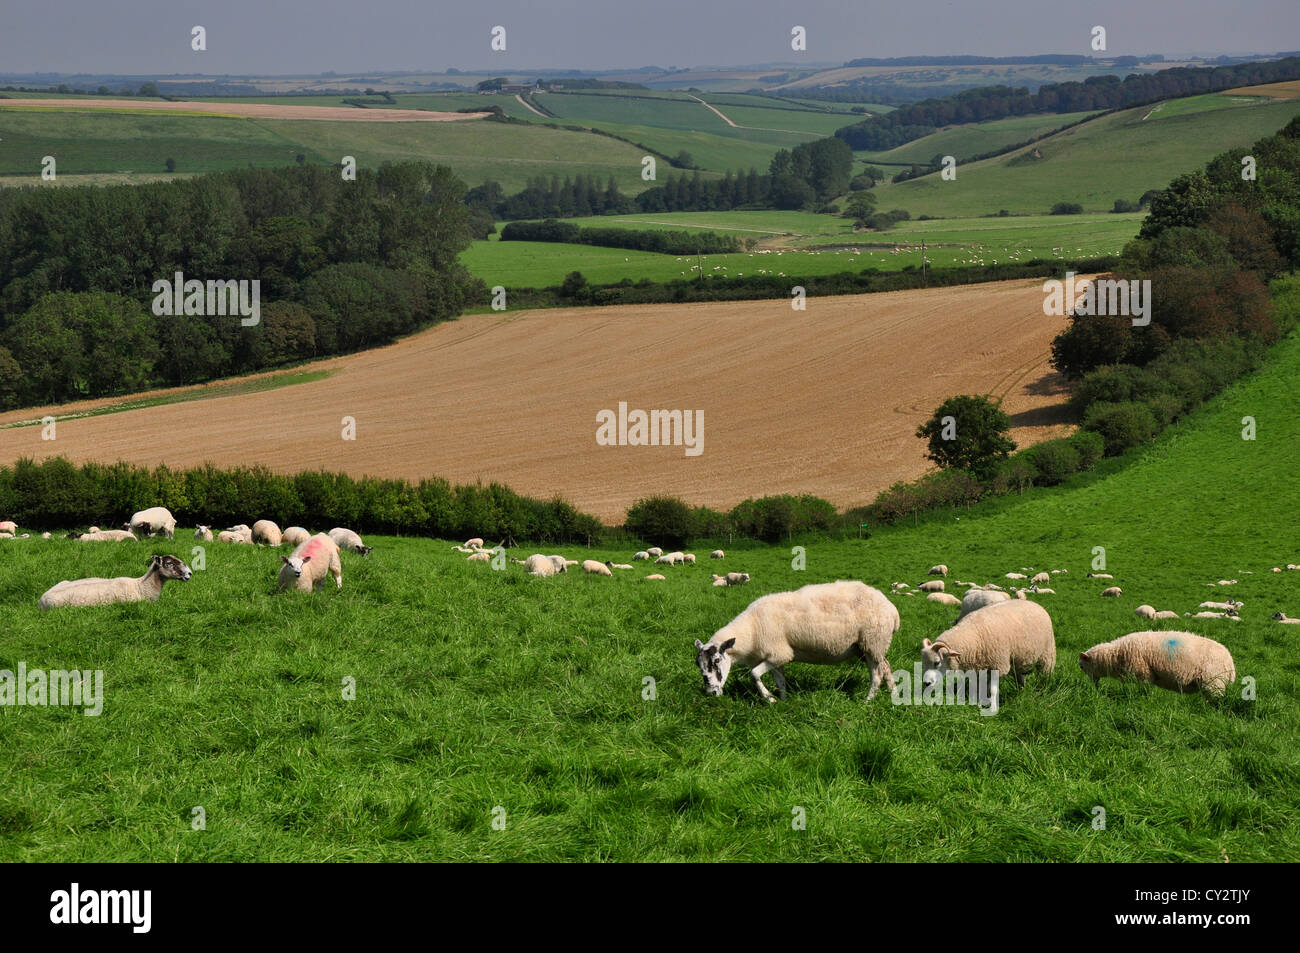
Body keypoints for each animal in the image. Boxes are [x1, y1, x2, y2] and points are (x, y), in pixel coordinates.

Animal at [696, 577, 899, 702]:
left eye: (716, 660)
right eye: (698, 665)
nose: (711, 692)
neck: (751, 630)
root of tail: (892, 608)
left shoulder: (780, 653)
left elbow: (754, 675)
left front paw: (770, 699)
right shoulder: (774, 657)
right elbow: (780, 681)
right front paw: (783, 701)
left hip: (873, 641)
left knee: (877, 674)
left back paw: (867, 701)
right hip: (864, 647)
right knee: (886, 668)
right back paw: (894, 695)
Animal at [915, 603, 1055, 696]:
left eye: (937, 662)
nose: (926, 683)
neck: (974, 636)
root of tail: (1036, 604)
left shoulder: (998, 666)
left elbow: (991, 689)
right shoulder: (978, 667)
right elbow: (978, 686)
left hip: (1048, 653)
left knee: (1045, 674)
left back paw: (1043, 689)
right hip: (1018, 658)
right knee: (1019, 676)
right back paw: (1021, 690)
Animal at [1076, 631, 1237, 696]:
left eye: (1081, 666)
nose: (1094, 686)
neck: (1116, 655)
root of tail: (1231, 665)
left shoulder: (1144, 674)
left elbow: (1145, 691)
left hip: (1214, 683)